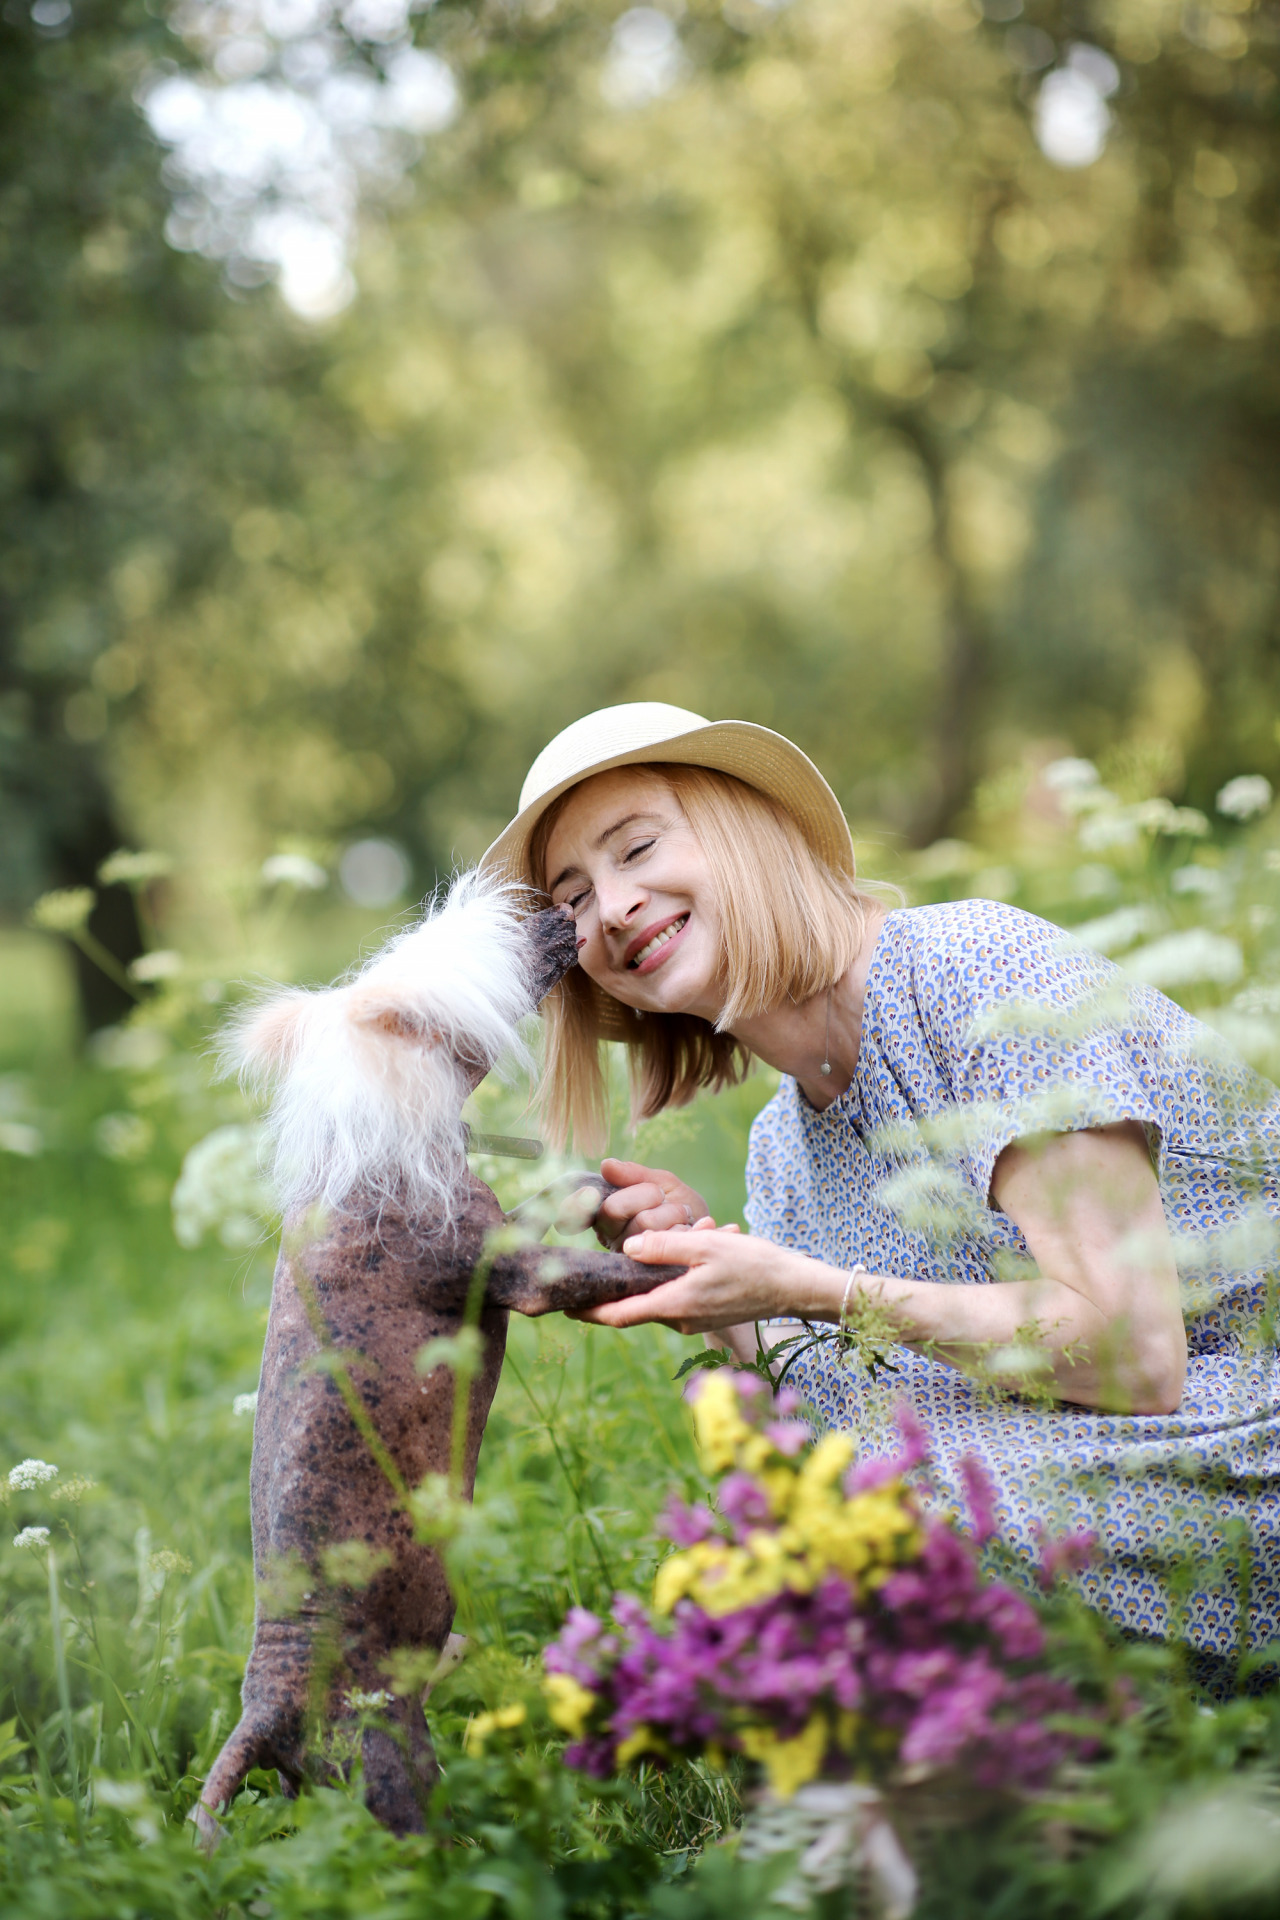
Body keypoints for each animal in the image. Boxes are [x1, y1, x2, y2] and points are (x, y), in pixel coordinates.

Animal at [197, 883, 679, 1843]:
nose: (561, 909)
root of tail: (264, 1713)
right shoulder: (518, 1277)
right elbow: (611, 1271)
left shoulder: (508, 1227)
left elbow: (553, 1202)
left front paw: (593, 1191)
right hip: (393, 1771)